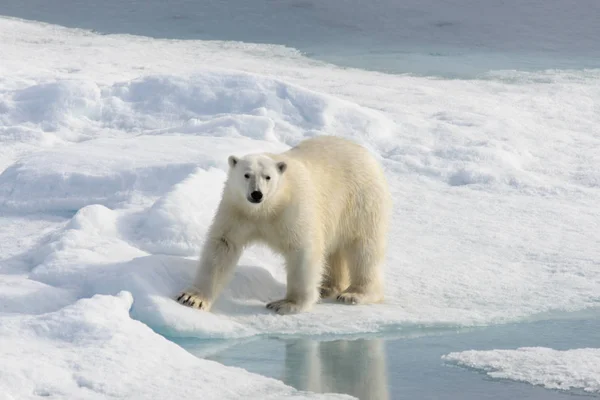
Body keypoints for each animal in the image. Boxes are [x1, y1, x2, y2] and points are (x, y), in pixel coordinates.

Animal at [176, 136, 392, 314]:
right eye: (246, 175)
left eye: (268, 177)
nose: (256, 194)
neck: (267, 207)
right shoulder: (237, 210)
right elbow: (222, 247)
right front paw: (192, 298)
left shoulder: (293, 209)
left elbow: (303, 249)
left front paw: (286, 304)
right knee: (334, 252)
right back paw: (327, 288)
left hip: (361, 202)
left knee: (363, 249)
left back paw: (354, 294)